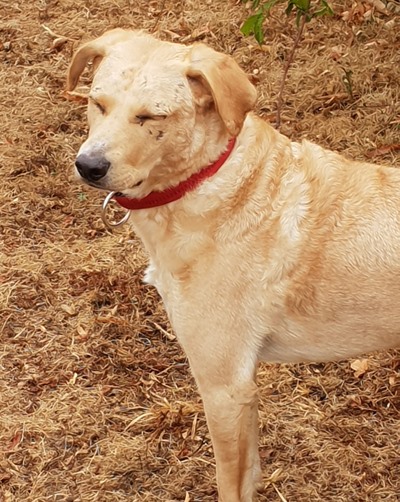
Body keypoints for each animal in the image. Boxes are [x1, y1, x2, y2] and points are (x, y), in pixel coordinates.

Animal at [67, 29, 400, 501]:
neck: (208, 182)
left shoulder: (224, 386)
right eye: (98, 103)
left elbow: (230, 482)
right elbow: (251, 473)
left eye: (151, 116)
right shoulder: (243, 389)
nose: (88, 166)